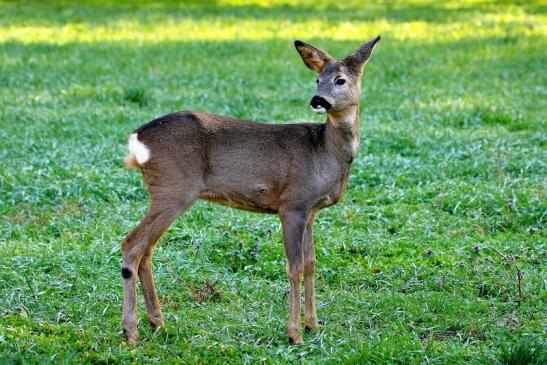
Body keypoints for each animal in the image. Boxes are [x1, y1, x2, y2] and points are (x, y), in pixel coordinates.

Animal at [122, 37, 384, 344]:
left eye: (340, 80)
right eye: (317, 79)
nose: (317, 100)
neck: (324, 151)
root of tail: (137, 139)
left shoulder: (310, 211)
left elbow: (310, 263)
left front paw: (314, 325)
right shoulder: (292, 204)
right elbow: (294, 267)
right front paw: (295, 334)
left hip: (167, 192)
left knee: (146, 250)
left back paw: (158, 324)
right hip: (173, 188)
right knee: (132, 244)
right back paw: (131, 331)